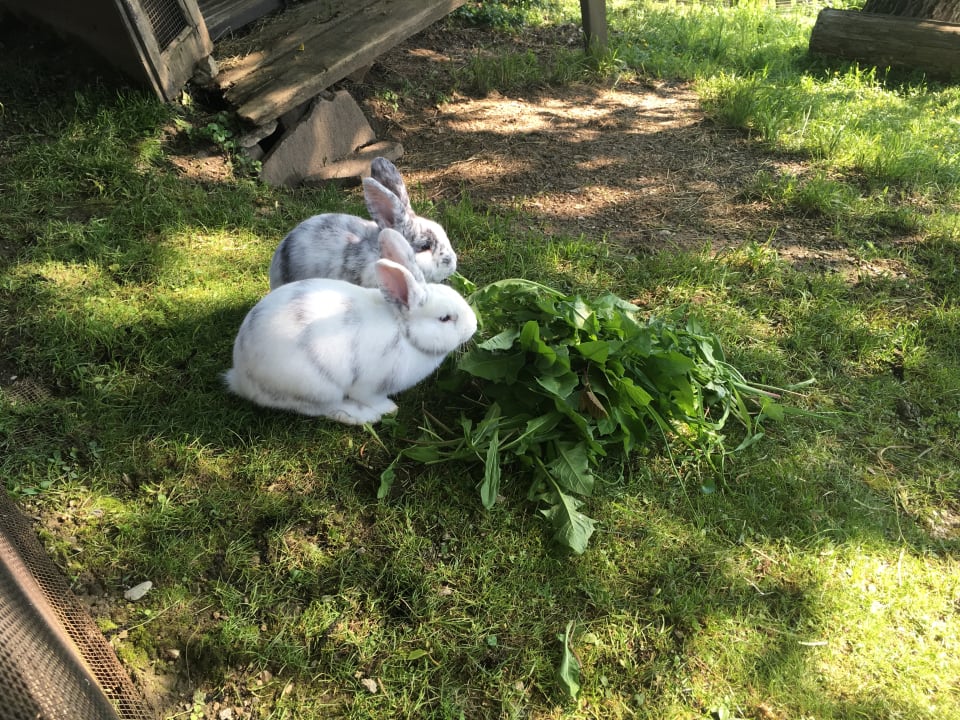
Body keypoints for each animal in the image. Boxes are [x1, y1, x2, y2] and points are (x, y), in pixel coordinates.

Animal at [226, 228, 477, 425]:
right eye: (445, 318)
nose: (473, 326)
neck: (404, 334)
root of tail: (241, 376)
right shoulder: (370, 387)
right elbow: (375, 399)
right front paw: (389, 409)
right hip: (316, 388)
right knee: (321, 409)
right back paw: (361, 415)